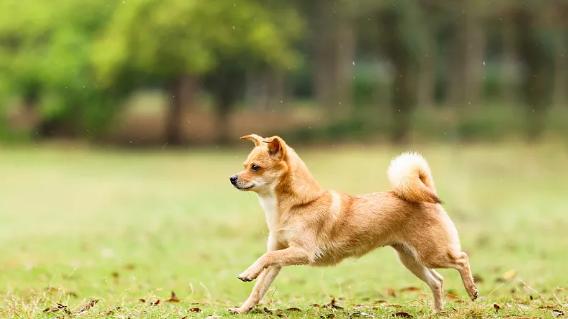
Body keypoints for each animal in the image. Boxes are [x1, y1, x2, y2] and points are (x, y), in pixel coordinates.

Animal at [229, 134, 478, 316]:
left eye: (255, 167)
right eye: (244, 165)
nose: (232, 178)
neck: (295, 205)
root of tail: (427, 194)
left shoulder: (303, 252)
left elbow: (264, 258)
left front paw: (248, 272)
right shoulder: (280, 256)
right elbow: (259, 287)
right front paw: (242, 309)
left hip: (431, 254)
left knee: (462, 259)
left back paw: (472, 290)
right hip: (411, 259)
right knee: (437, 281)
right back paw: (437, 311)